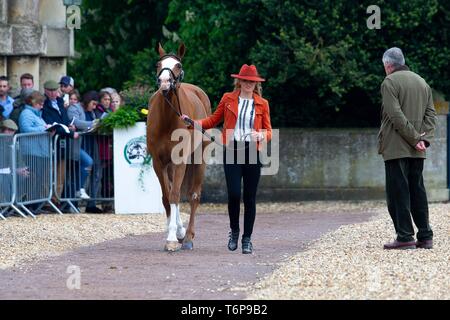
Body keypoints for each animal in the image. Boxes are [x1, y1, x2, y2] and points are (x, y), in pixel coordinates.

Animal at [147, 42, 212, 251]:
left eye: (178, 65)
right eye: (158, 64)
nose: (164, 82)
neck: (167, 118)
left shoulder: (180, 160)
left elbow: (175, 194)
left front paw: (173, 238)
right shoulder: (159, 163)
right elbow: (167, 197)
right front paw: (174, 234)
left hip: (199, 159)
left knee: (194, 195)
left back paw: (189, 237)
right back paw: (182, 232)